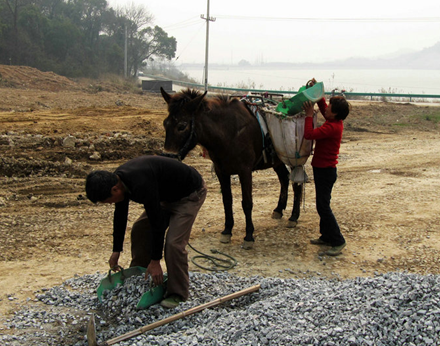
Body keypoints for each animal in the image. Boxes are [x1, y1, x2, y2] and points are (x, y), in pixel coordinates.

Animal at [161, 86, 302, 249]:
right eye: (165, 124)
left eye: (182, 126)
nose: (168, 156)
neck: (228, 132)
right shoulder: (221, 172)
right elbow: (227, 201)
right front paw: (227, 231)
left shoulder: (245, 171)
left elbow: (247, 203)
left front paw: (249, 236)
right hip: (277, 162)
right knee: (284, 179)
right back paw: (279, 209)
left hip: (294, 160)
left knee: (296, 185)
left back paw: (293, 217)